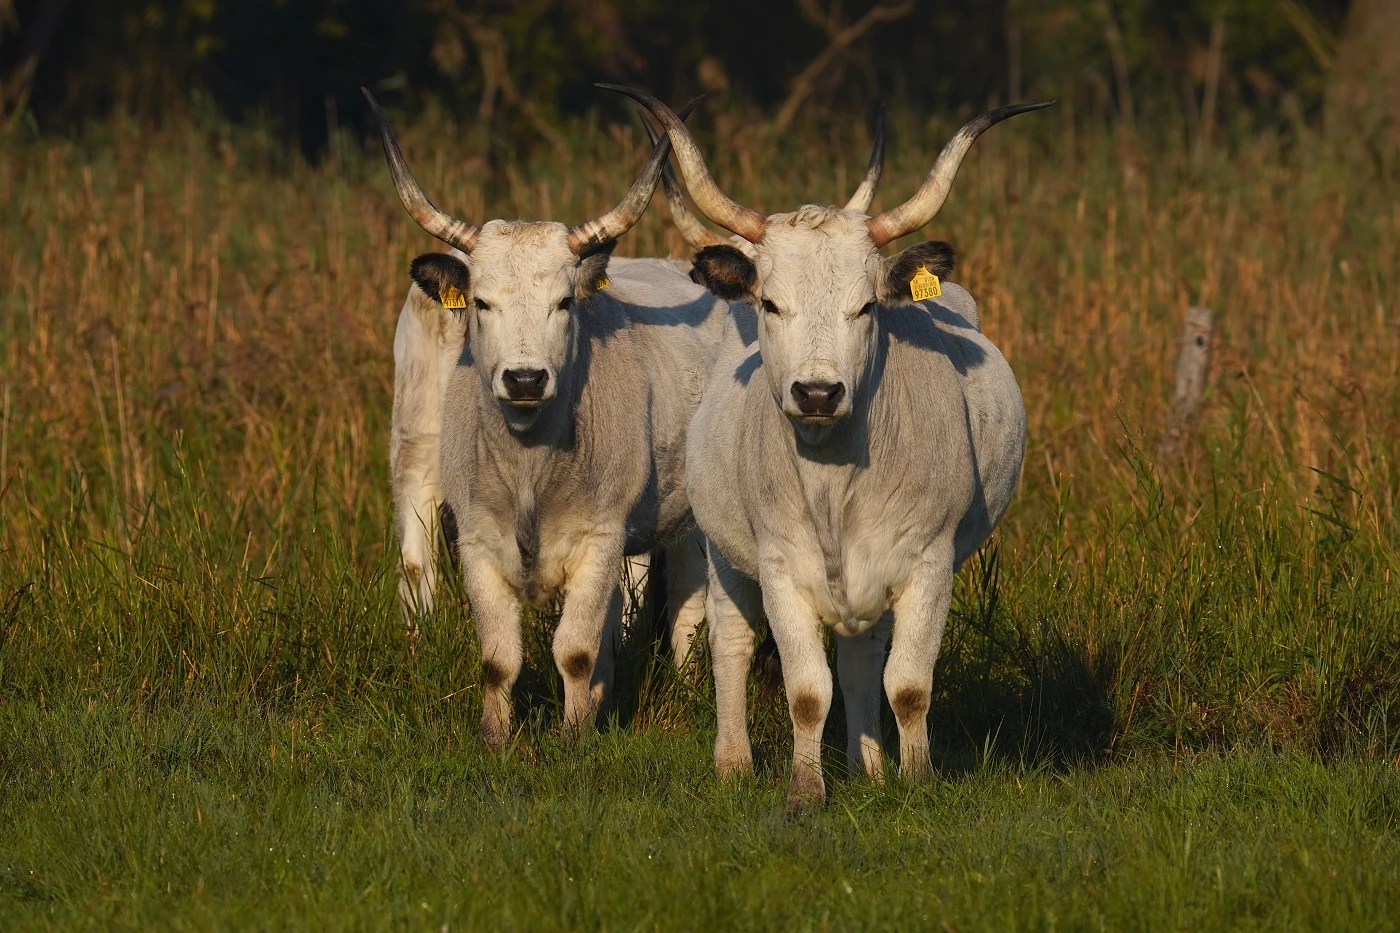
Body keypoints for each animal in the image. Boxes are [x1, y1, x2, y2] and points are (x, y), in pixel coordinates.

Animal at [366, 88, 727, 744]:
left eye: (563, 302)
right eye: (482, 302)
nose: (526, 379)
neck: (530, 467)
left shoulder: (600, 537)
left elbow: (576, 650)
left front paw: (576, 734)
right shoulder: (478, 539)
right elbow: (498, 656)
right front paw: (495, 737)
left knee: (687, 601)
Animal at [607, 84, 1052, 807]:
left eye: (866, 306)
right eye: (771, 303)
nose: (818, 391)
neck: (833, 483)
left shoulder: (928, 563)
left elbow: (905, 683)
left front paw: (911, 778)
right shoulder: (782, 569)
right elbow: (807, 692)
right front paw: (804, 790)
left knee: (862, 657)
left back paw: (868, 765)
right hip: (723, 550)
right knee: (730, 640)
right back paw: (733, 761)